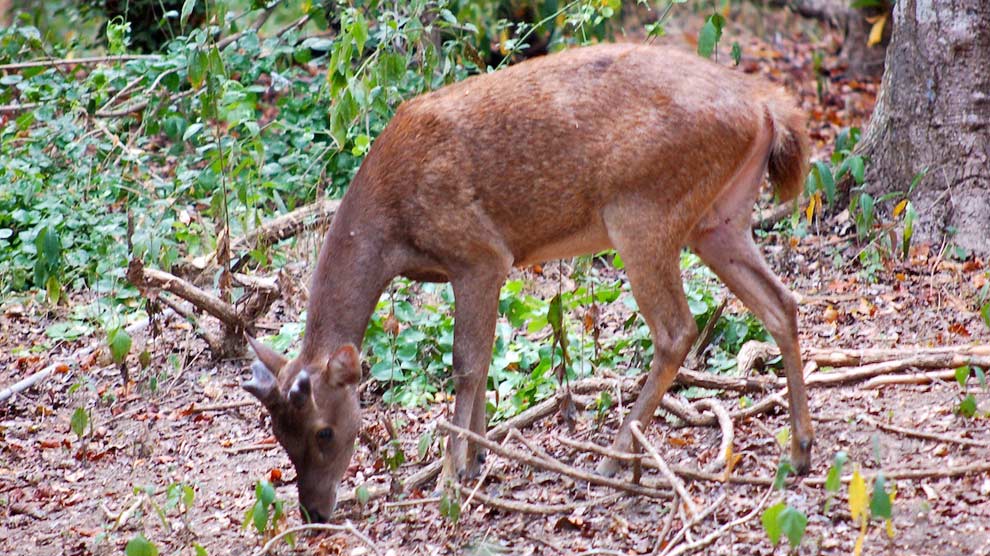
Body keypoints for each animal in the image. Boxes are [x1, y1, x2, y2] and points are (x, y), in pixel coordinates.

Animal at [240, 42, 812, 520]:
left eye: (325, 432)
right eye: (278, 434)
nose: (314, 511)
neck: (391, 227)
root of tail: (767, 107)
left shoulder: (480, 253)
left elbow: (466, 363)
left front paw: (453, 475)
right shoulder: (478, 267)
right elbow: (485, 357)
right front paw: (475, 459)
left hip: (644, 210)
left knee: (677, 330)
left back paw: (613, 458)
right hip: (719, 219)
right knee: (780, 303)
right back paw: (801, 450)